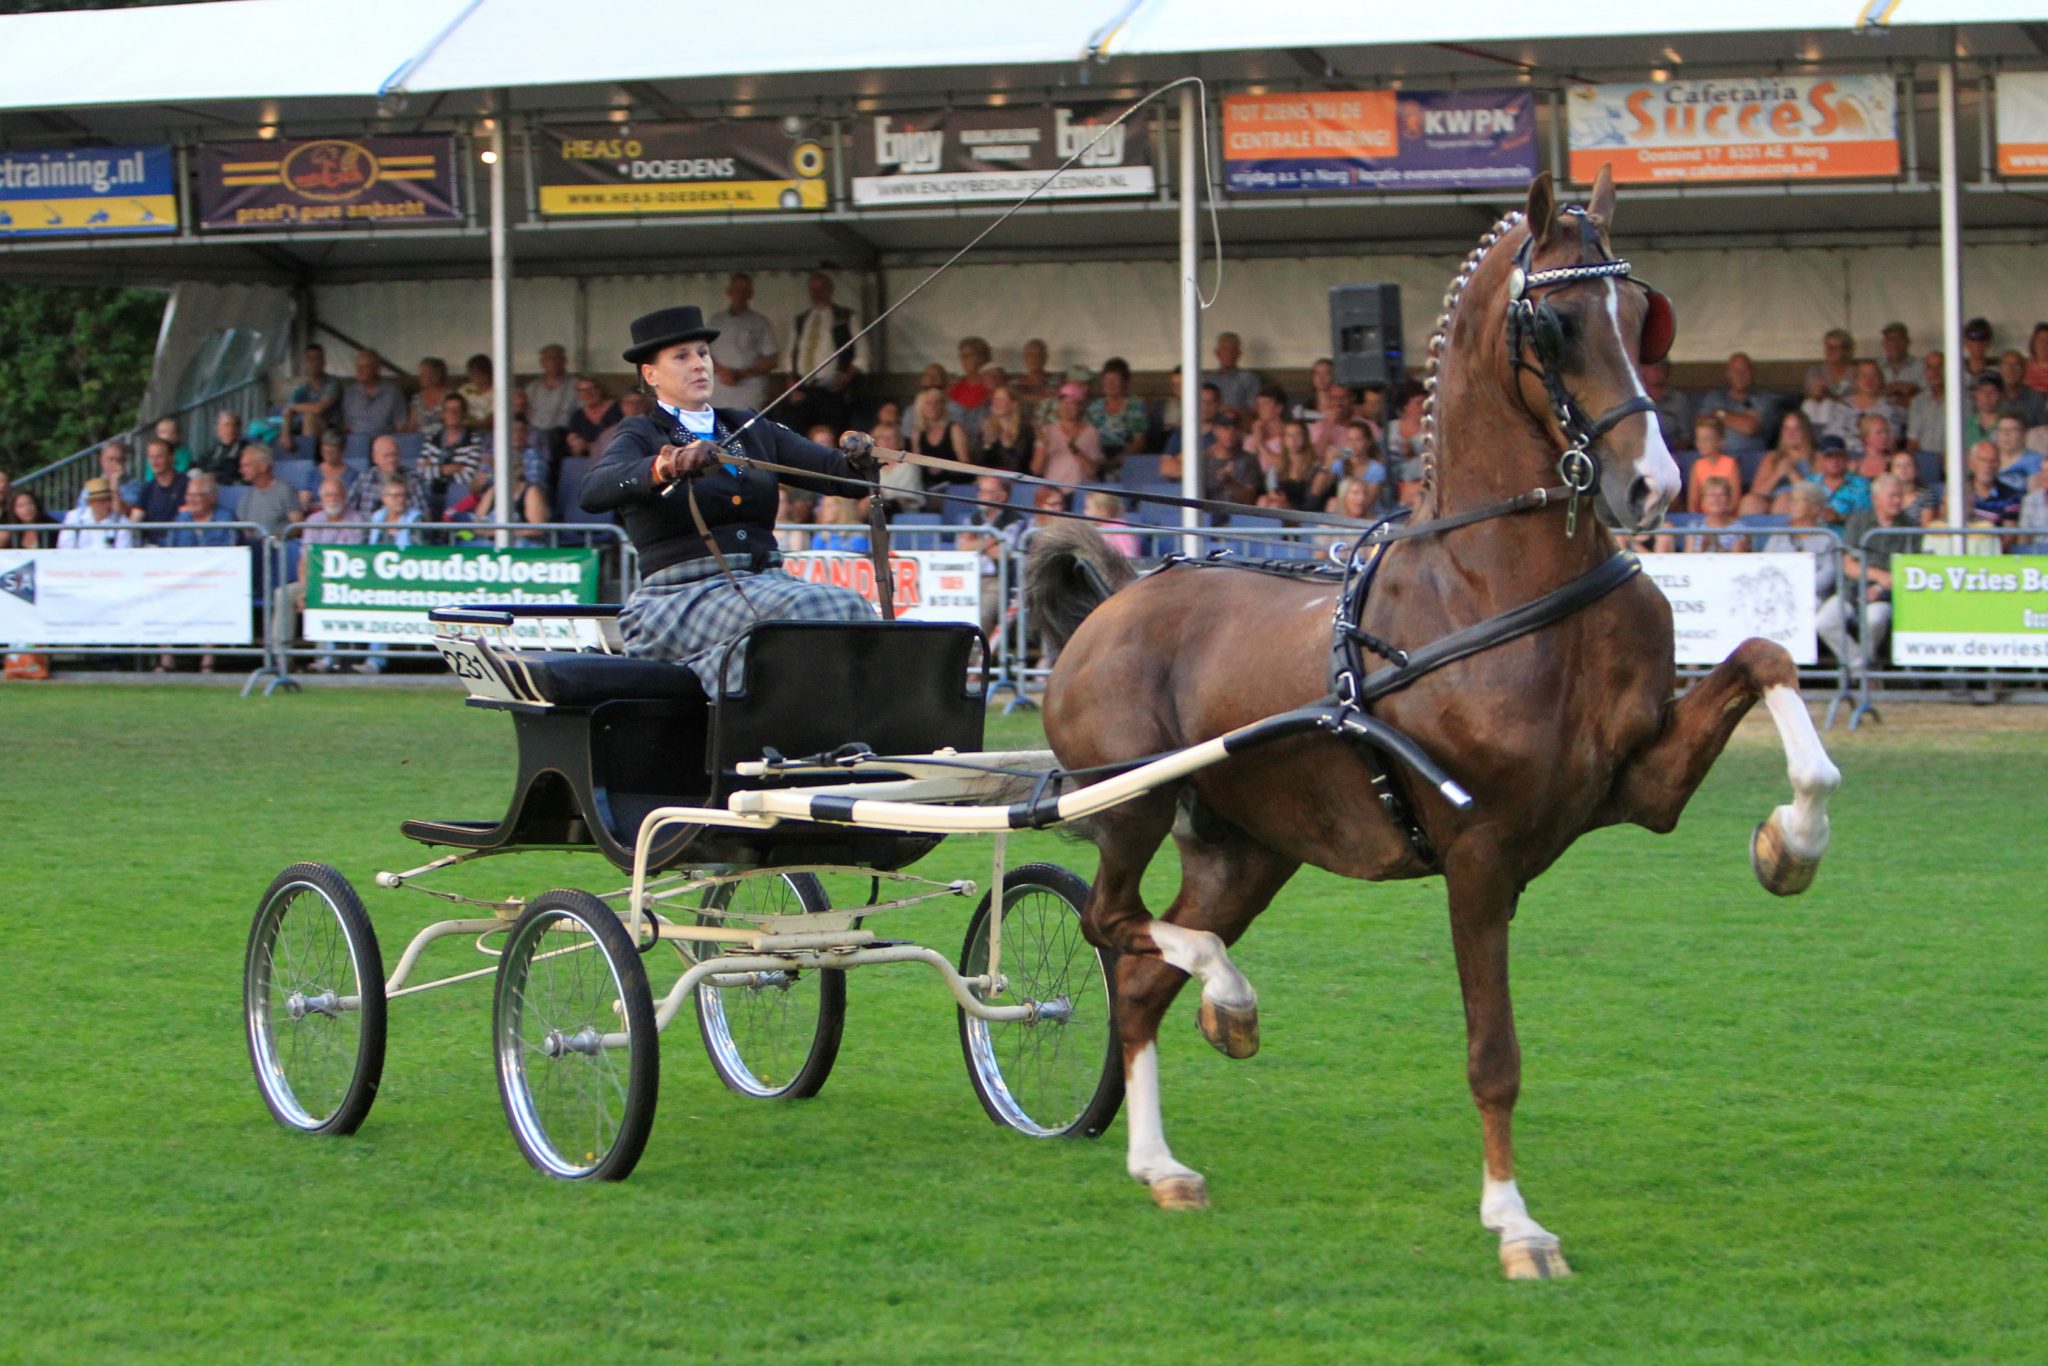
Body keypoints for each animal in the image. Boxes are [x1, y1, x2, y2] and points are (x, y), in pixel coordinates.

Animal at [1025, 167, 1841, 1280]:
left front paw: (1789, 842)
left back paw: (1163, 1159)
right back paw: (1229, 1000)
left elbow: (1764, 657)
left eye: (1642, 315)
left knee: (1145, 975)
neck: (1494, 586)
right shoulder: (1479, 854)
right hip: (1132, 806)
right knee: (1113, 922)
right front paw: (1516, 1224)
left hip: (1246, 851)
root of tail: (1113, 603)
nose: (1655, 485)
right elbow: (1493, 1054)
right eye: (1553, 323)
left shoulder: (1639, 783)